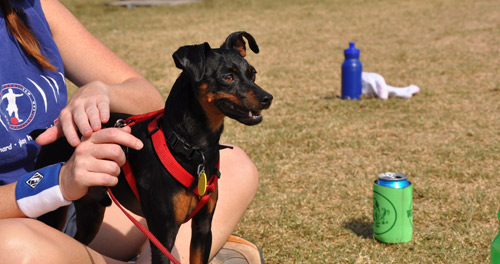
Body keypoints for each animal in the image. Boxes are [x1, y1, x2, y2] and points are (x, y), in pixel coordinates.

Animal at [35, 31, 274, 264]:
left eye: (253, 74)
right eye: (228, 77)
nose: (268, 98)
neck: (190, 147)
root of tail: (54, 128)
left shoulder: (203, 229)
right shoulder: (162, 236)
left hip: (90, 213)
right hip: (53, 215)